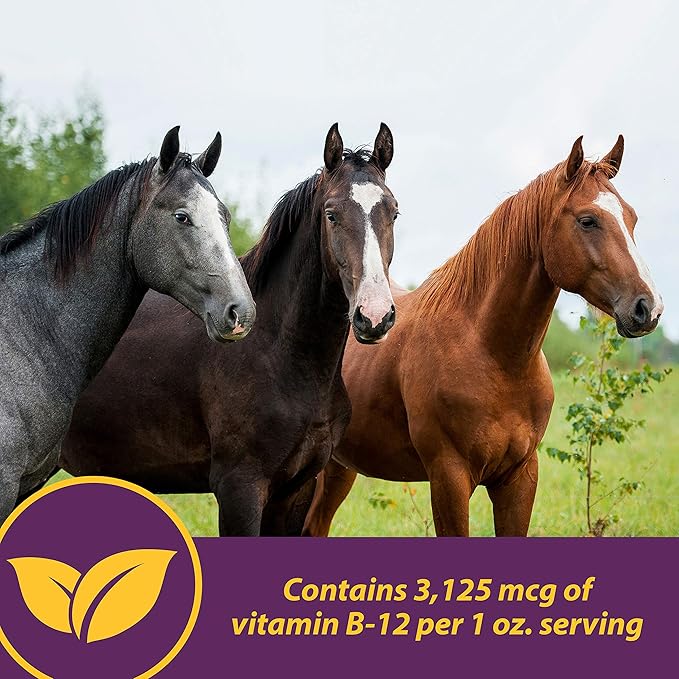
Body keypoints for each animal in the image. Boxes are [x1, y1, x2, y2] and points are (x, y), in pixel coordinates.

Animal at [59, 123, 399, 536]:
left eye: (394, 212)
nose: (374, 315)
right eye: (331, 214)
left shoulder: (295, 492)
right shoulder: (241, 488)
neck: (279, 351)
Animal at [303, 135, 664, 537]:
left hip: (338, 469)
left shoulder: (519, 477)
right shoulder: (449, 478)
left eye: (631, 217)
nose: (648, 307)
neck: (492, 355)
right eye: (588, 221)